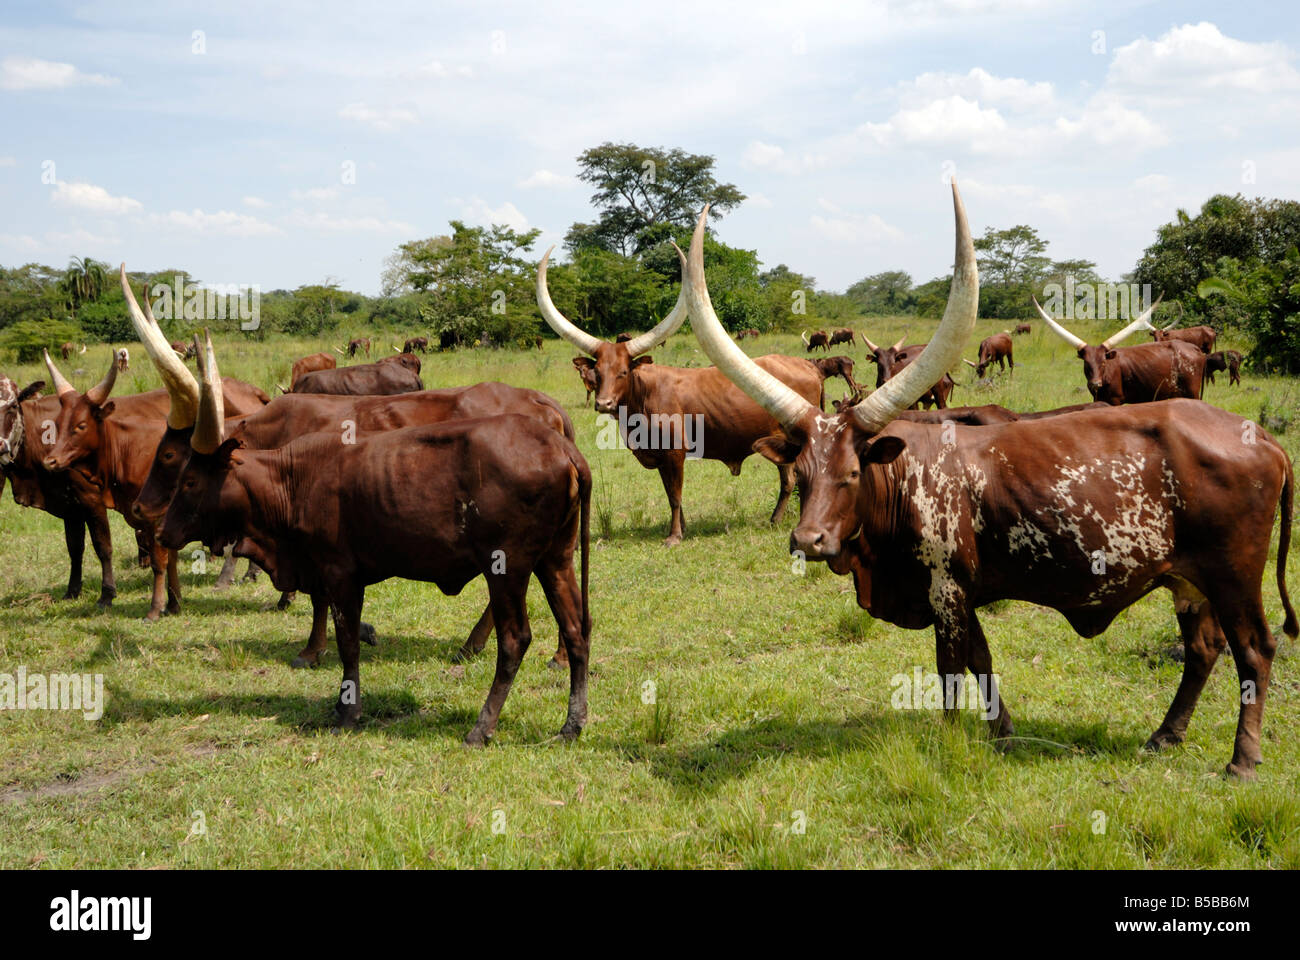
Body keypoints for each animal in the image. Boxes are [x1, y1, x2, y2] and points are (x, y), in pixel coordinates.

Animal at [538, 249, 823, 545]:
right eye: (597, 372)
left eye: (623, 372)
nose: (603, 403)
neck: (643, 399)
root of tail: (808, 366)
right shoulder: (661, 457)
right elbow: (670, 495)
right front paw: (682, 528)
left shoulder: (675, 453)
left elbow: (675, 496)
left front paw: (674, 536)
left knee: (789, 480)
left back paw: (776, 519)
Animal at [1033, 297, 1207, 405]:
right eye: (1086, 364)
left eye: (1103, 362)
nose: (1095, 383)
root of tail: (1195, 349)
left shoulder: (1115, 400)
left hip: (1192, 392)